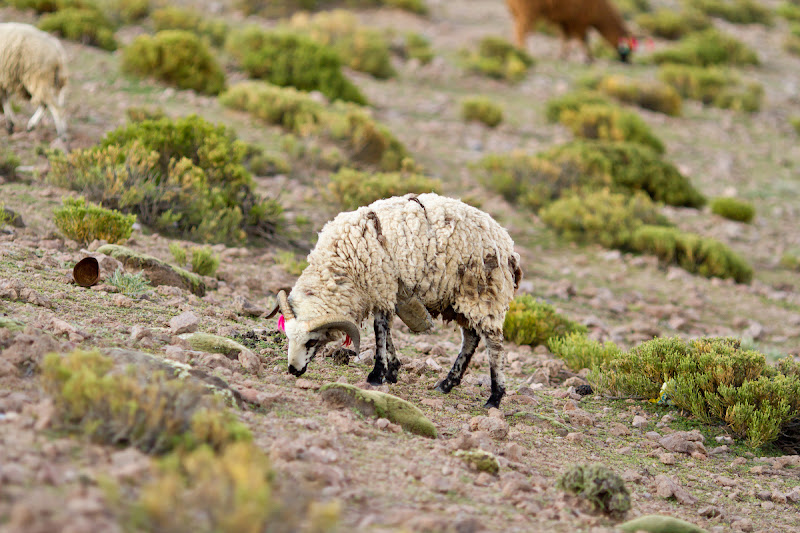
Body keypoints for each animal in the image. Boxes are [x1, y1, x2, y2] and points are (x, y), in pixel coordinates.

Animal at [266, 194, 520, 408]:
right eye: (287, 337)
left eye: (311, 341)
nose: (293, 370)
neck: (341, 265)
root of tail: (506, 242)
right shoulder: (385, 292)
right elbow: (386, 331)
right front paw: (392, 370)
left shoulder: (382, 285)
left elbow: (380, 329)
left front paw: (377, 375)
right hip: (459, 301)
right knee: (471, 337)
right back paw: (447, 384)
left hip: (484, 294)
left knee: (494, 344)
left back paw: (495, 397)